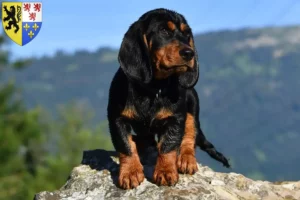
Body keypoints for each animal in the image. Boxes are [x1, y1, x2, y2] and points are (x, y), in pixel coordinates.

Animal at [107, 7, 230, 189]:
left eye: (187, 34)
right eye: (164, 31)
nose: (189, 53)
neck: (153, 89)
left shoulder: (176, 119)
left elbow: (168, 145)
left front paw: (165, 171)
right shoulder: (117, 118)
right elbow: (126, 145)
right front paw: (130, 172)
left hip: (192, 105)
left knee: (189, 136)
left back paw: (186, 159)